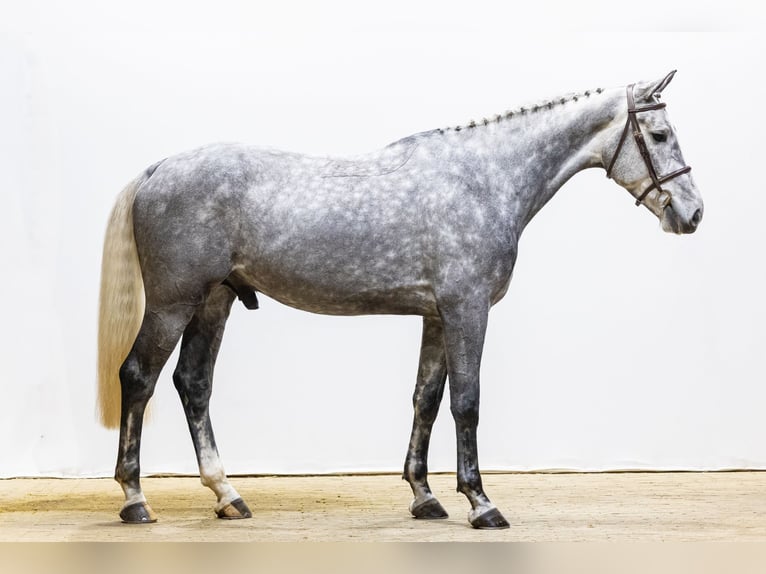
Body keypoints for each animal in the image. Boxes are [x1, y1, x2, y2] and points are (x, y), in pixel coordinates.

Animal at [97, 70, 702, 529]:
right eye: (660, 134)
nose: (692, 214)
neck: (483, 180)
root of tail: (158, 169)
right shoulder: (467, 310)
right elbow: (466, 403)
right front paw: (481, 504)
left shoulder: (436, 316)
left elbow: (426, 400)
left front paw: (425, 496)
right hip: (174, 303)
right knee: (139, 376)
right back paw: (135, 500)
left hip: (215, 302)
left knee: (193, 384)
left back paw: (228, 496)